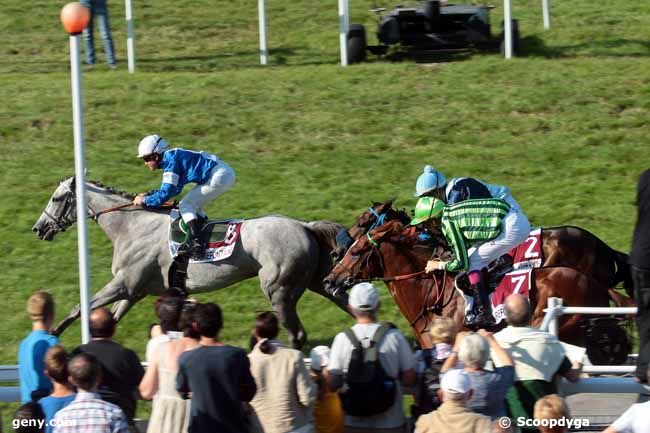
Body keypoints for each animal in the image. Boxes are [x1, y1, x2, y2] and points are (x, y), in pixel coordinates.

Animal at [33, 176, 346, 348]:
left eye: (56, 198)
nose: (39, 228)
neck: (131, 226)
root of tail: (304, 225)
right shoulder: (135, 291)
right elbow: (111, 316)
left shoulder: (123, 285)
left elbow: (79, 307)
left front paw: (52, 335)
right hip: (320, 282)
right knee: (345, 303)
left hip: (278, 290)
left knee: (297, 333)